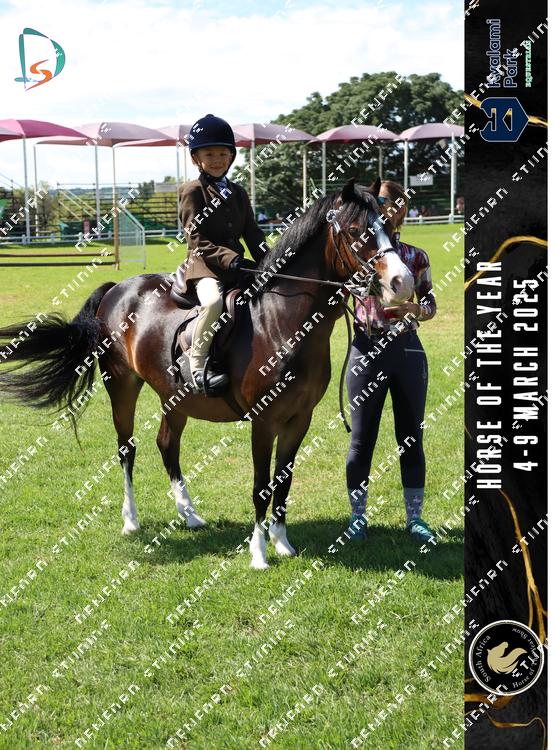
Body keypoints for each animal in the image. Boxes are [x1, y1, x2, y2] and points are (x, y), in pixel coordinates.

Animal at [0, 178, 414, 569]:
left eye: (390, 227)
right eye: (358, 230)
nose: (403, 283)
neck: (282, 322)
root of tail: (118, 288)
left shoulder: (299, 418)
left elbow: (284, 481)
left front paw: (283, 543)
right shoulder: (264, 420)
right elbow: (261, 486)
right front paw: (259, 554)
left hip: (174, 397)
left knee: (167, 445)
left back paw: (190, 515)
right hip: (121, 385)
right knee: (126, 449)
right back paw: (131, 520)